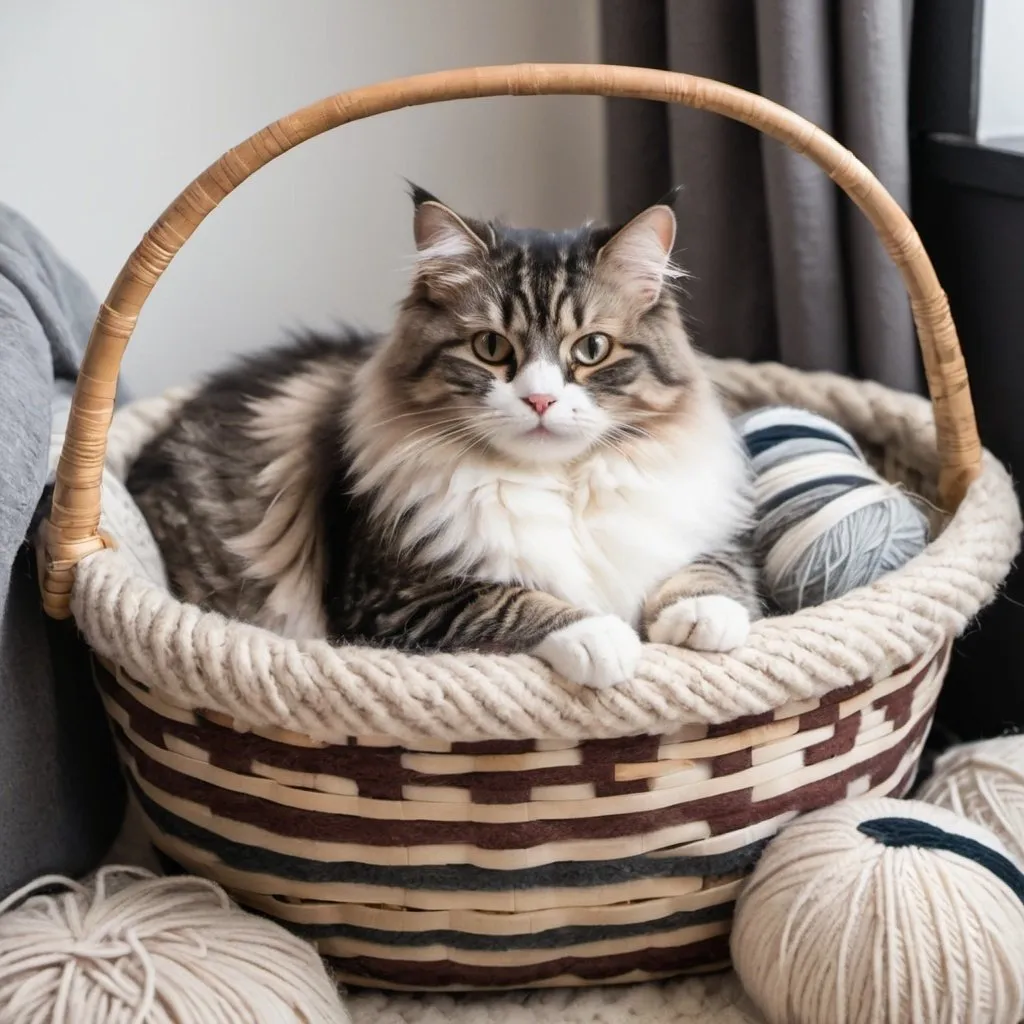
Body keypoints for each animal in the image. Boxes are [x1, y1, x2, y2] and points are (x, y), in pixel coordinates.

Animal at [123, 188, 757, 692]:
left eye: (592, 349)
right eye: (492, 348)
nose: (541, 401)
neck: (558, 482)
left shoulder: (700, 527)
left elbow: (714, 570)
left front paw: (703, 619)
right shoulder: (389, 598)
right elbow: (509, 601)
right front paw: (600, 638)